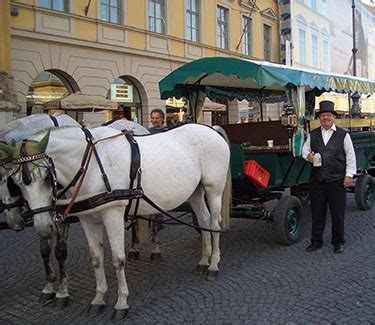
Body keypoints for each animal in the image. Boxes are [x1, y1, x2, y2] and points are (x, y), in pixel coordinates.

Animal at [0, 123, 232, 318]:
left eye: (47, 178)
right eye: (16, 183)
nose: (42, 226)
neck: (92, 165)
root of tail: (210, 128)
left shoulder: (113, 214)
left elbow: (118, 259)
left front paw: (121, 302)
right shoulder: (87, 219)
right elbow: (96, 259)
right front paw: (98, 298)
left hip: (213, 189)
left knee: (214, 224)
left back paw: (213, 265)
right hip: (195, 191)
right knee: (203, 221)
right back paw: (203, 261)